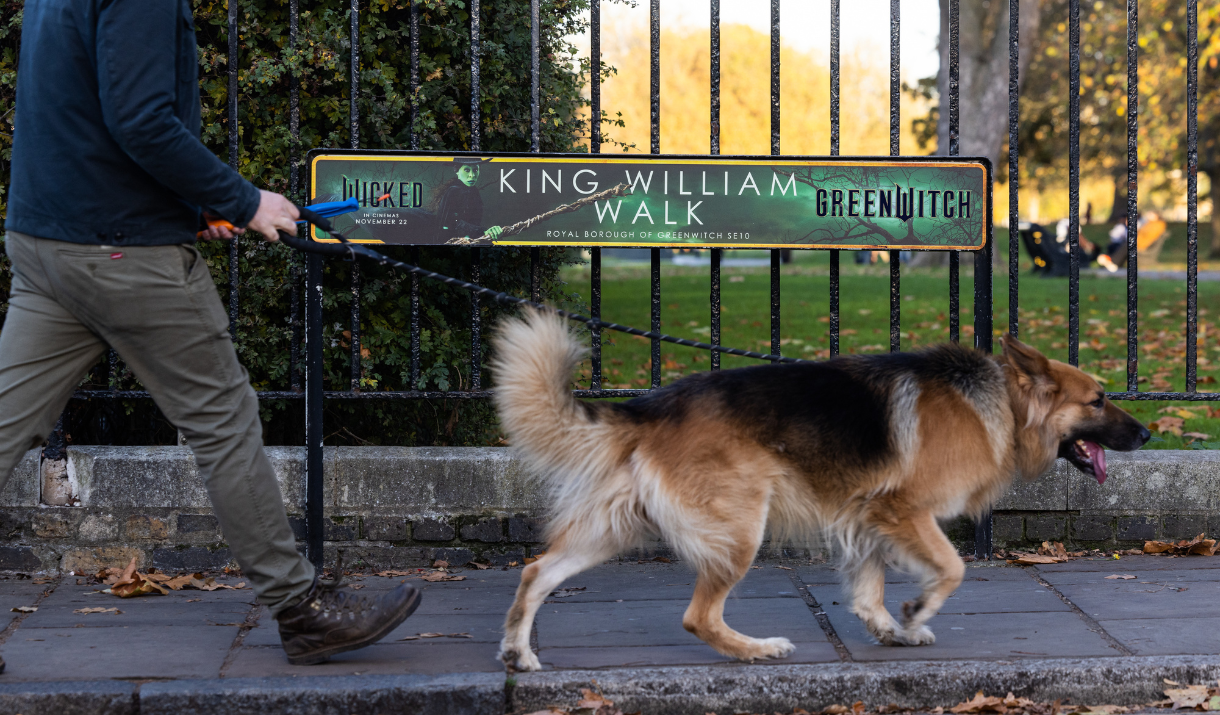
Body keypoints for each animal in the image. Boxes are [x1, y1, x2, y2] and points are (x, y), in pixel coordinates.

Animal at [490, 307, 1146, 668]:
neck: (1003, 404)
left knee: (536, 572)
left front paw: (891, 629)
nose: (1144, 433)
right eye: (1098, 400)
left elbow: (869, 589)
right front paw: (916, 610)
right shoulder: (902, 509)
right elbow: (952, 568)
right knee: (698, 618)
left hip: (616, 528)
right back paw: (757, 650)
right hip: (740, 532)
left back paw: (519, 652)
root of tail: (650, 408)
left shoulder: (868, 518)